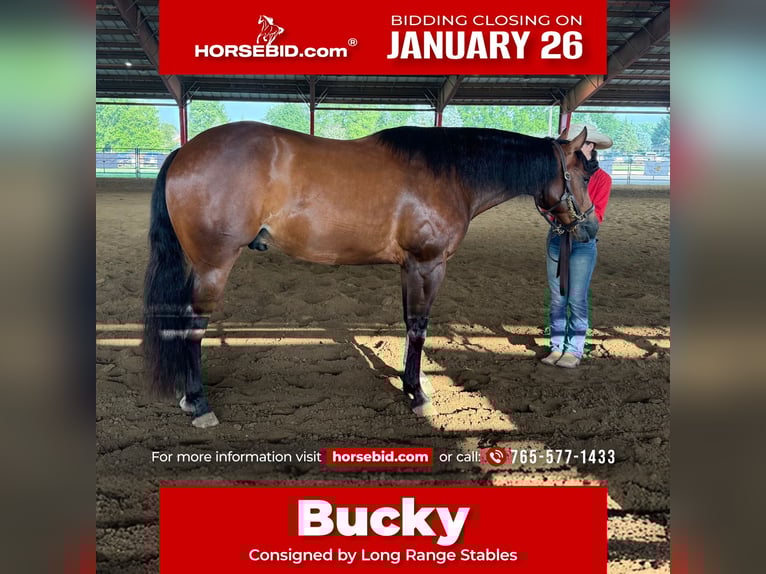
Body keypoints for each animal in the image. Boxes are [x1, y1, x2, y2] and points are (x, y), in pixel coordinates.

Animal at [144, 122, 594, 428]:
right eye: (584, 173)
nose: (587, 225)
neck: (450, 174)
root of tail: (185, 151)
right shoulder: (428, 264)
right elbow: (419, 326)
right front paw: (417, 395)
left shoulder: (408, 267)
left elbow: (409, 323)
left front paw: (412, 381)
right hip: (213, 266)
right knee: (190, 327)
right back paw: (199, 405)